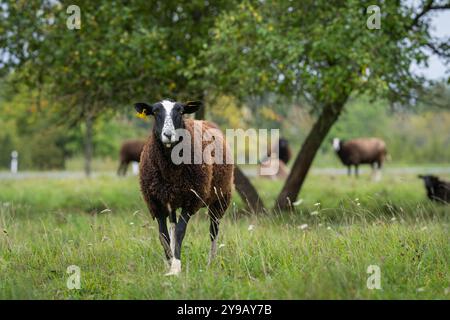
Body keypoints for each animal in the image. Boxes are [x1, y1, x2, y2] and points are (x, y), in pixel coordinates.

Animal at [134, 99, 234, 276]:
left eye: (180, 111)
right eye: (155, 111)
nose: (168, 134)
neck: (170, 169)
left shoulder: (190, 200)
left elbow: (180, 232)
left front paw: (176, 267)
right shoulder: (156, 203)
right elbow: (164, 235)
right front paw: (169, 263)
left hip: (220, 199)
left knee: (213, 231)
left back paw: (211, 262)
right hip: (172, 200)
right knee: (172, 228)